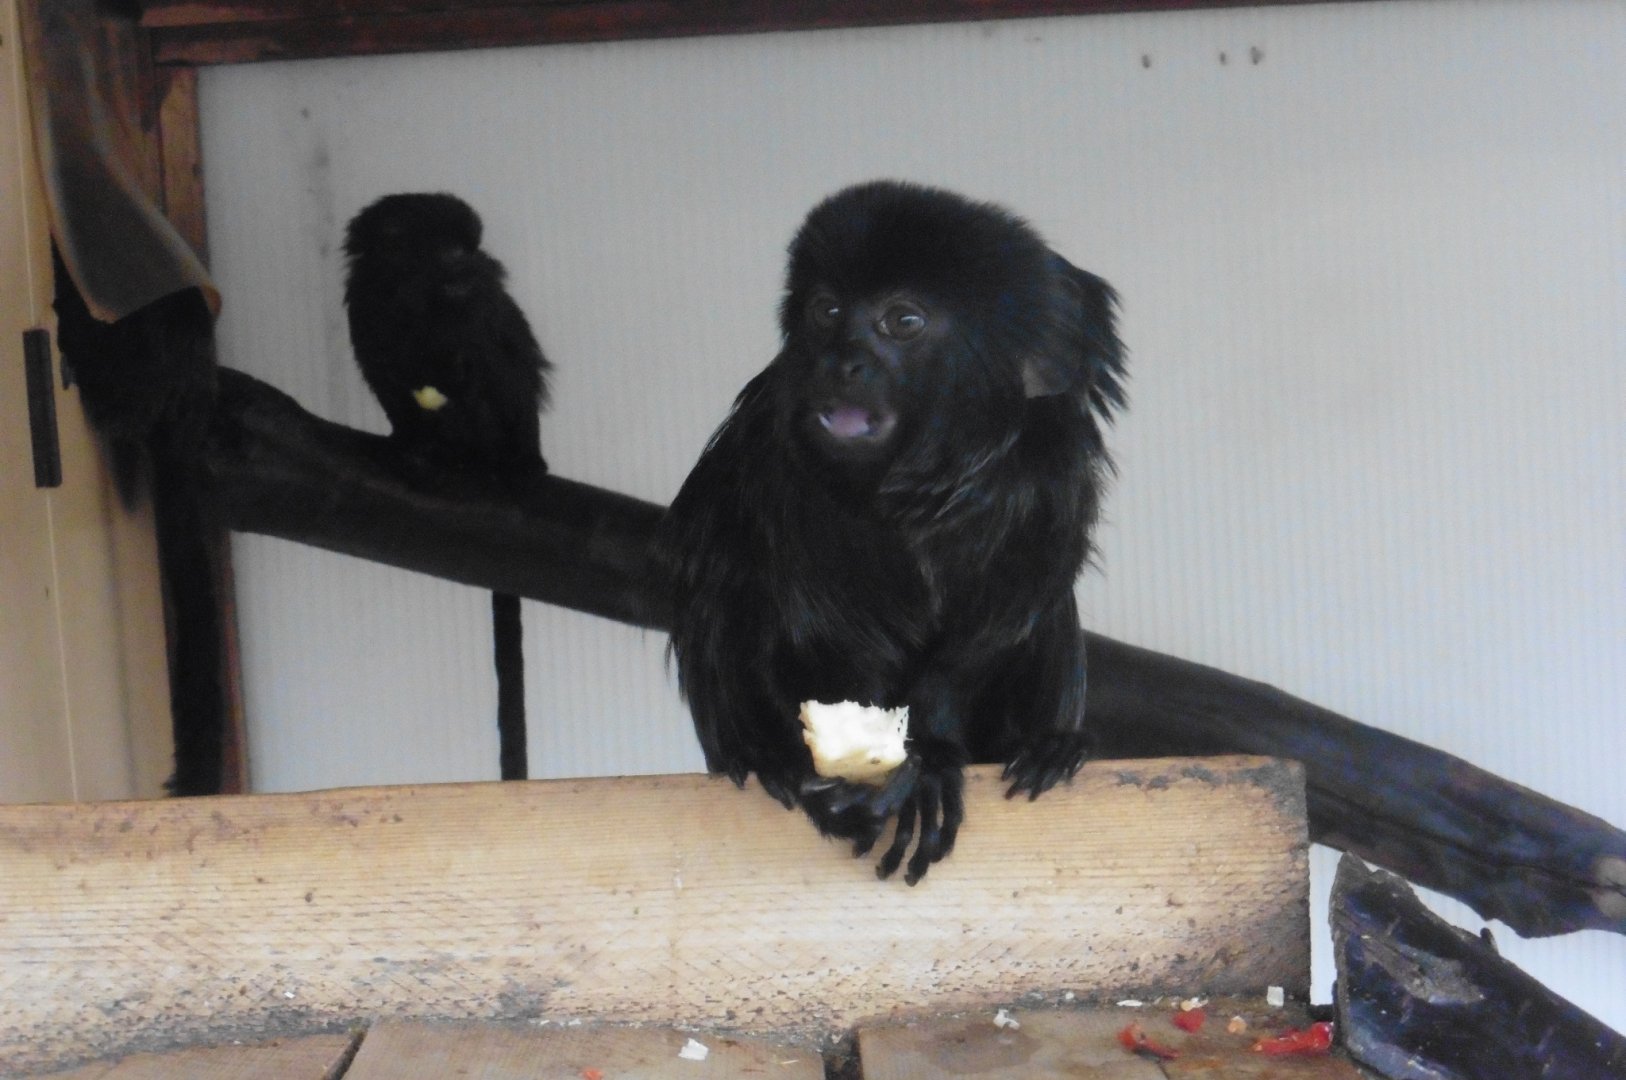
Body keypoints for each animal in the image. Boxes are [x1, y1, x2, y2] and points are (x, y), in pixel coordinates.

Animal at [343, 192, 552, 781]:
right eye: (451, 252)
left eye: (468, 250)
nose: (475, 265)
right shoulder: (365, 311)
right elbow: (390, 373)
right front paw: (410, 438)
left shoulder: (475, 308)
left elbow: (492, 355)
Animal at [656, 180, 1126, 885]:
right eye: (826, 311)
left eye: (902, 322)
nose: (840, 362)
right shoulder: (774, 461)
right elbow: (810, 621)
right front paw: (830, 770)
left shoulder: (1049, 474)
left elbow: (1005, 612)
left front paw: (929, 752)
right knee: (725, 591)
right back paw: (771, 758)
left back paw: (1051, 745)